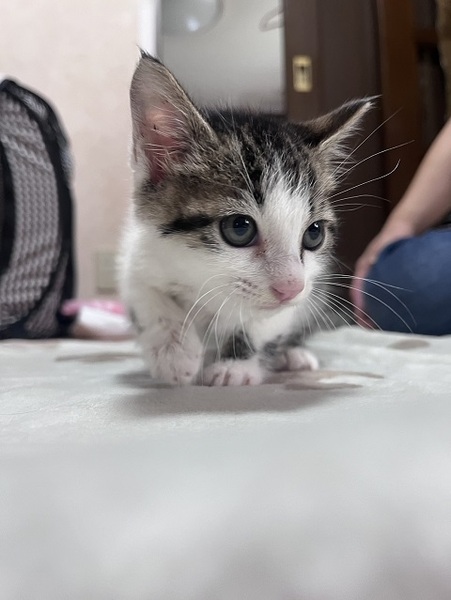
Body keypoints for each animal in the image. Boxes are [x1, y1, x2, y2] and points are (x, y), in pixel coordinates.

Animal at [118, 53, 370, 386]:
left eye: (314, 234)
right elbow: (145, 293)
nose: (290, 288)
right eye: (239, 229)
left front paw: (234, 366)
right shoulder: (136, 251)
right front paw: (174, 352)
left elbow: (262, 323)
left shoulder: (303, 288)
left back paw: (292, 355)